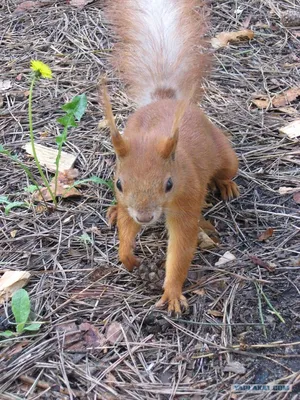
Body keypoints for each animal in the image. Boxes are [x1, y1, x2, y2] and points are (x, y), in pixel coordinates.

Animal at [103, 0, 239, 316]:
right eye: (118, 183)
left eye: (168, 184)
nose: (145, 216)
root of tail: (165, 99)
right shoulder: (128, 201)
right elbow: (127, 228)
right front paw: (127, 255)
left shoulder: (187, 199)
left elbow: (181, 247)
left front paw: (173, 292)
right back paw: (114, 212)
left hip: (225, 154)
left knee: (227, 169)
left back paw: (226, 185)